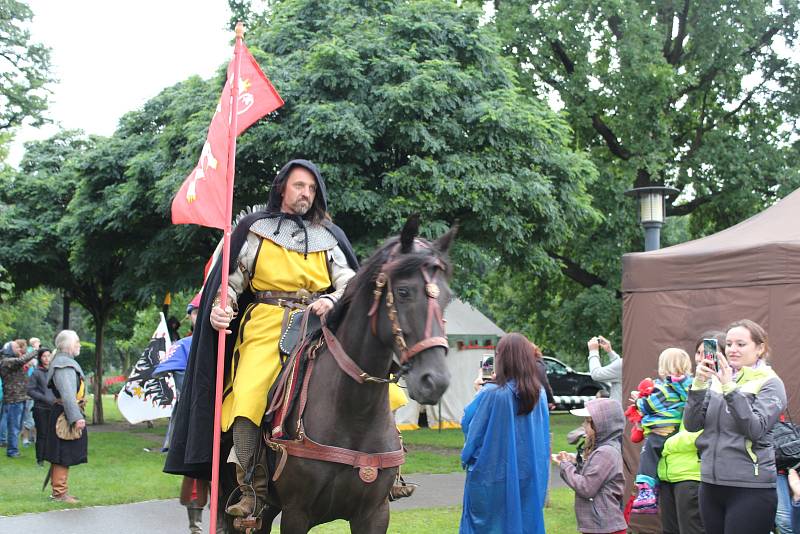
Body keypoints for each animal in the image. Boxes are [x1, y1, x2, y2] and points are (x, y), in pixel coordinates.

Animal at [228, 218, 456, 534]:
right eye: (403, 292)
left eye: (447, 297)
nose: (435, 381)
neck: (354, 413)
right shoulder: (296, 513)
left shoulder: (374, 514)